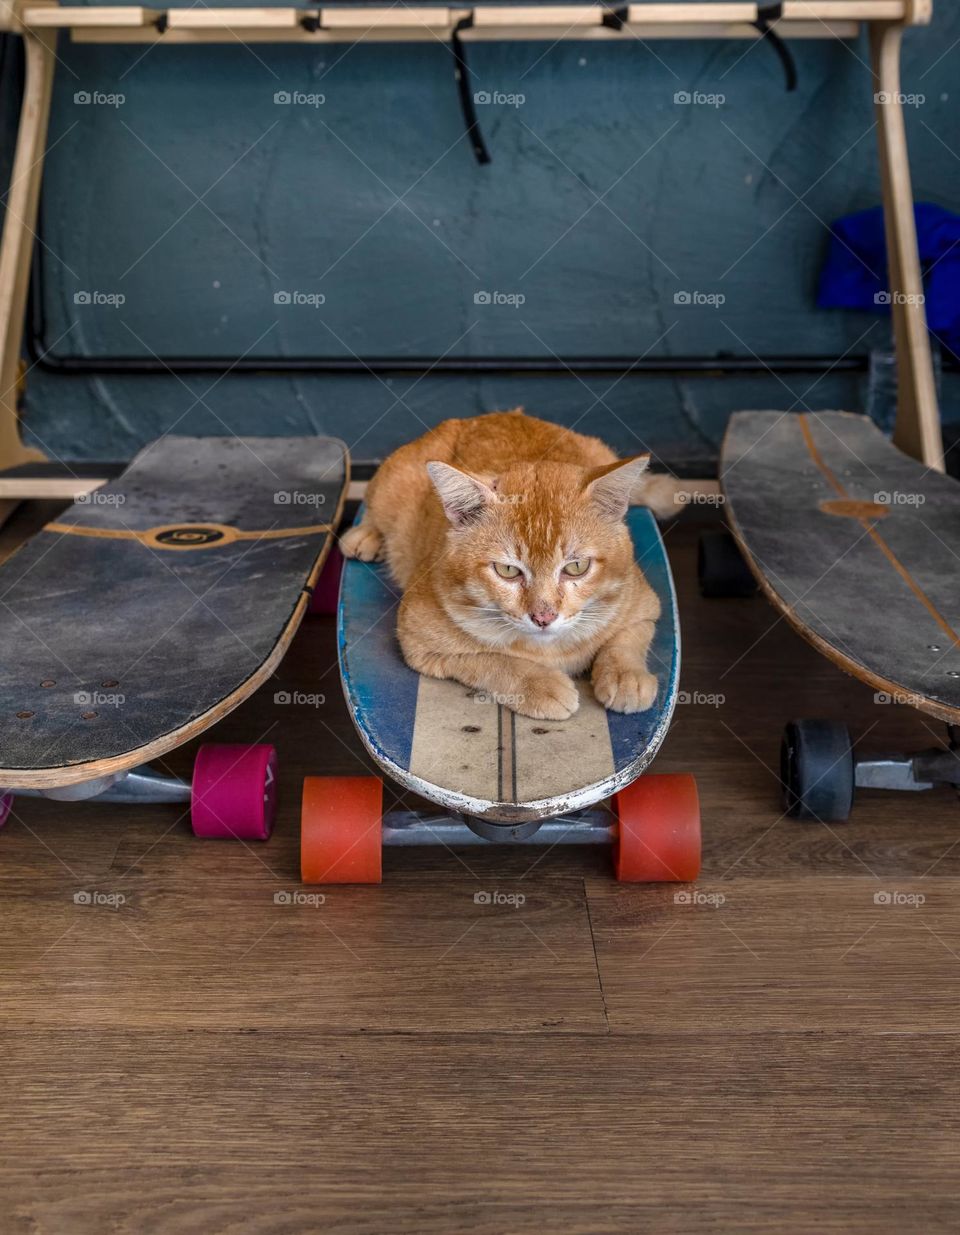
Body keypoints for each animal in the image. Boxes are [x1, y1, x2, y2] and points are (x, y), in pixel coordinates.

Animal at [343, 412, 667, 721]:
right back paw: (365, 536)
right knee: (374, 510)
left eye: (576, 567)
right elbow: (490, 660)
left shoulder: (644, 607)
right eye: (508, 571)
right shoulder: (416, 642)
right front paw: (540, 684)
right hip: (389, 486)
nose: (543, 617)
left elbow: (625, 640)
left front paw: (626, 676)